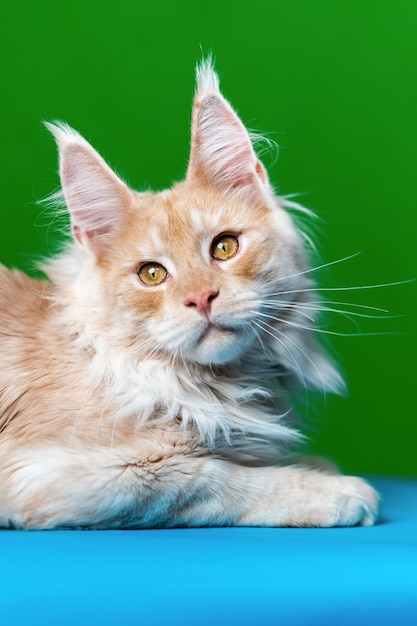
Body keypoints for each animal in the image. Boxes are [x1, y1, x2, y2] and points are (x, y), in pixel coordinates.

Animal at [0, 58, 378, 528]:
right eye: (151, 274)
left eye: (225, 247)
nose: (201, 298)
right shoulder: (71, 475)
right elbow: (220, 478)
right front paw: (334, 491)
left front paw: (314, 464)